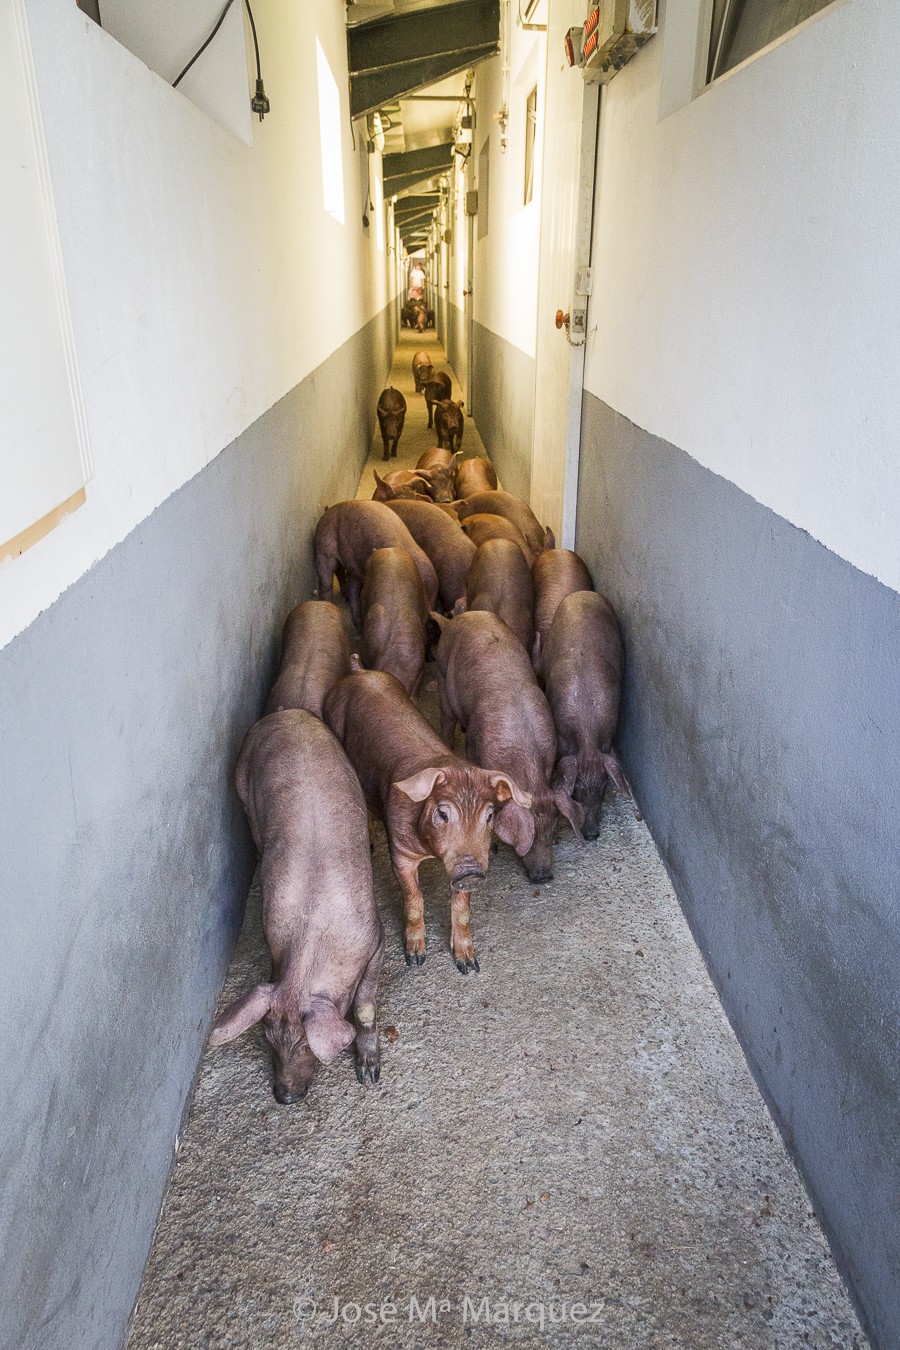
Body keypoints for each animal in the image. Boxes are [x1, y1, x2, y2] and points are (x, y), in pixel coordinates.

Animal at [209, 710, 384, 1100]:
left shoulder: (375, 938)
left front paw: (369, 1075)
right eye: (267, 1038)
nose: (284, 1097)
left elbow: (365, 1005)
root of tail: (286, 715)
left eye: (305, 1045)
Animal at [325, 670, 530, 972]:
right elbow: (414, 898)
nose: (471, 872)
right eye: (443, 813)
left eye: (490, 815)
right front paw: (415, 959)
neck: (430, 851)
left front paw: (469, 966)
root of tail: (359, 672)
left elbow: (462, 907)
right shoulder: (400, 852)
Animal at [434, 610, 584, 884]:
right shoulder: (475, 749)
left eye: (552, 831)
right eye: (529, 837)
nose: (544, 876)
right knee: (446, 720)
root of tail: (458, 618)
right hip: (441, 678)